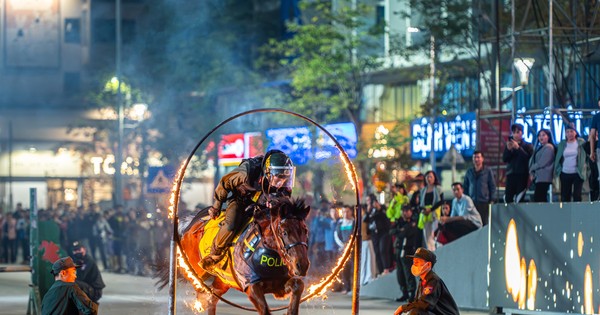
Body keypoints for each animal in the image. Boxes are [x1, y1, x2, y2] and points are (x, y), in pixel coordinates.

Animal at [159, 196, 310, 315]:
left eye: (305, 230)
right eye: (284, 232)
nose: (302, 265)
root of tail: (193, 222)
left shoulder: (278, 284)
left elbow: (298, 285)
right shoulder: (251, 285)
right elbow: (264, 309)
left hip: (223, 281)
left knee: (212, 299)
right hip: (193, 268)